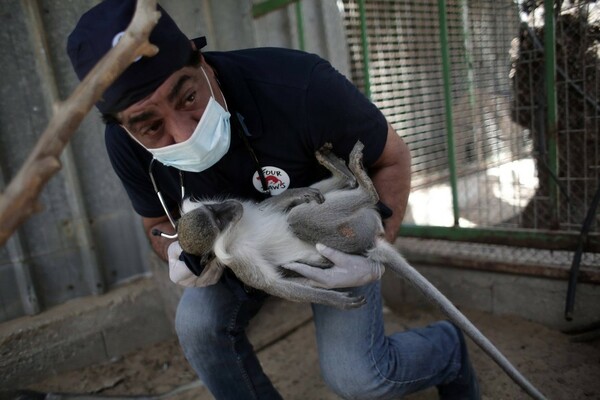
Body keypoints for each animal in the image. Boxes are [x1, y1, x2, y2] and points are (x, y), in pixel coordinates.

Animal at [175, 141, 548, 400]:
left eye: (219, 212)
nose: (231, 207)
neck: (235, 232)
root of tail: (373, 242)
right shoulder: (237, 261)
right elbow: (274, 285)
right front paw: (338, 301)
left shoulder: (250, 211)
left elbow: (272, 205)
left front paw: (297, 192)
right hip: (351, 230)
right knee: (309, 216)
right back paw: (358, 179)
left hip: (349, 220)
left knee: (308, 205)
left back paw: (339, 171)